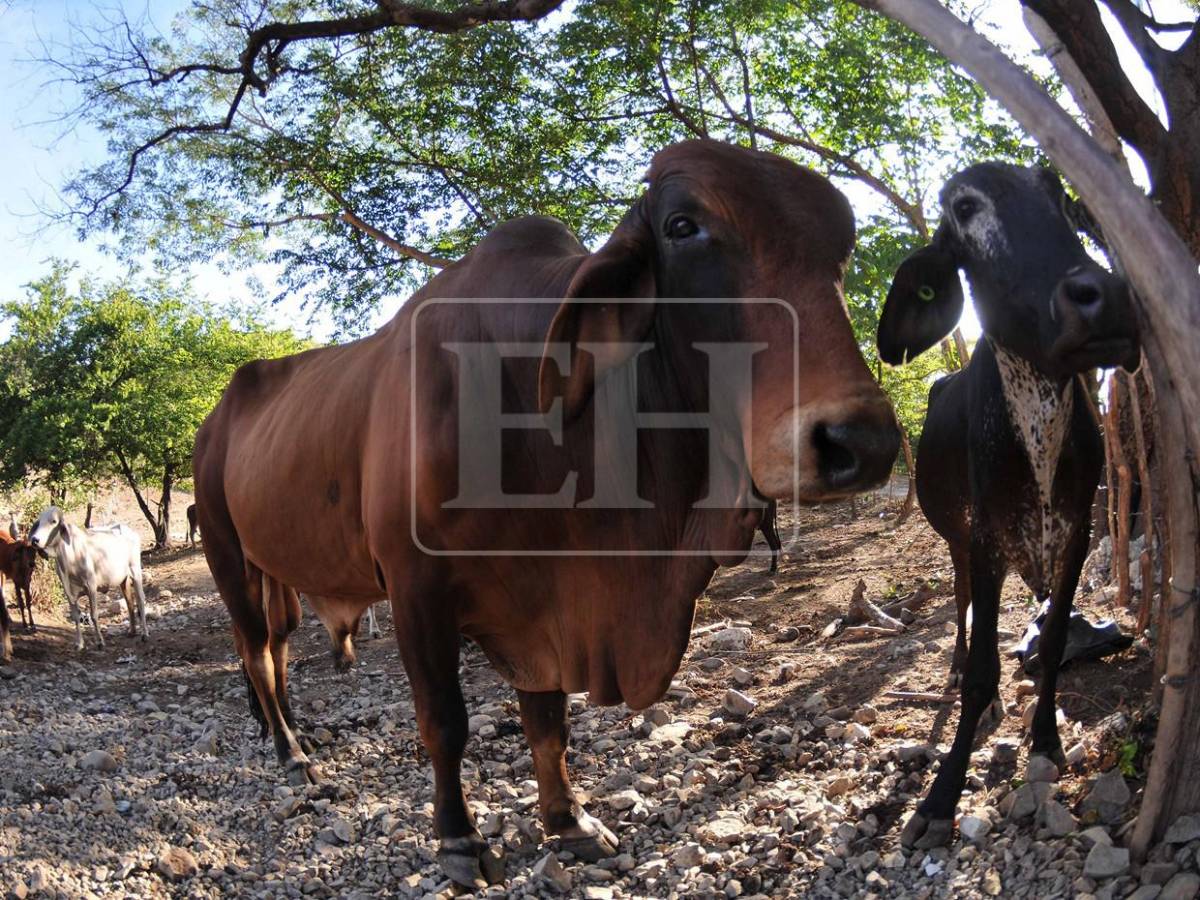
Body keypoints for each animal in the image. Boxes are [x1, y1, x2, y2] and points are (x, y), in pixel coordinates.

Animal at [28, 507, 150, 651]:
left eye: (53, 521)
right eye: (39, 522)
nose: (35, 540)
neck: (69, 560)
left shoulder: (91, 586)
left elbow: (94, 615)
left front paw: (100, 642)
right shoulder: (69, 592)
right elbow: (76, 616)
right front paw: (80, 643)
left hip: (136, 572)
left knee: (140, 600)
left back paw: (145, 634)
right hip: (123, 580)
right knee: (129, 602)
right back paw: (132, 631)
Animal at [195, 139, 900, 889]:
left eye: (842, 249)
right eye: (682, 227)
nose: (861, 441)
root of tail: (215, 419)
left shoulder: (546, 602)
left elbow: (549, 722)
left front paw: (568, 820)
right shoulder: (417, 588)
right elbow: (445, 720)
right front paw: (459, 839)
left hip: (273, 570)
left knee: (273, 648)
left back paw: (285, 731)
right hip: (227, 556)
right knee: (256, 653)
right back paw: (291, 752)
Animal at [876, 162, 1141, 849]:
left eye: (1058, 195)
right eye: (965, 208)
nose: (1107, 297)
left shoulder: (1077, 536)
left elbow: (1051, 646)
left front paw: (1045, 738)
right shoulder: (985, 541)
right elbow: (980, 675)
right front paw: (941, 796)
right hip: (954, 538)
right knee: (963, 604)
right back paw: (959, 660)